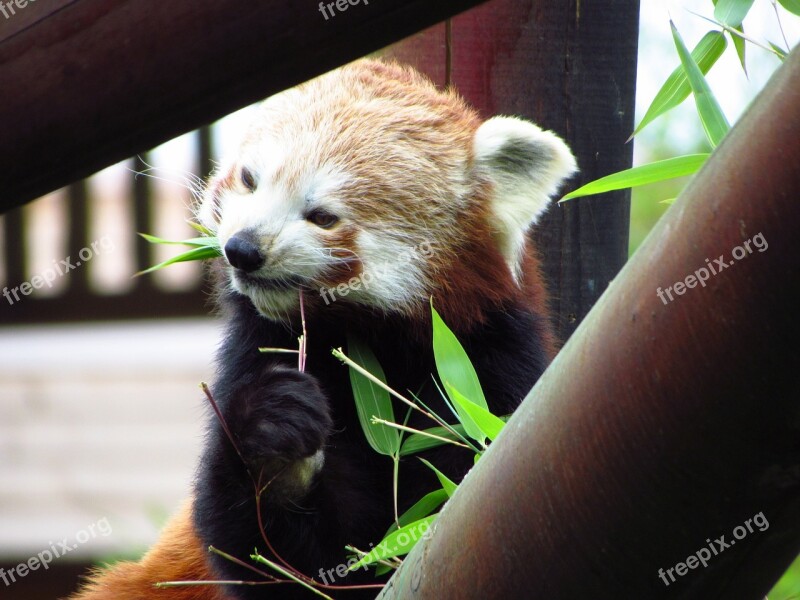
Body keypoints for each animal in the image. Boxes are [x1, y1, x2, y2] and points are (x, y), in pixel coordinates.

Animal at [70, 57, 576, 600]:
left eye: (322, 216)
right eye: (249, 179)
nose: (243, 249)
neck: (367, 344)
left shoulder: (487, 366)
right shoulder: (253, 352)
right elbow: (260, 552)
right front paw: (275, 441)